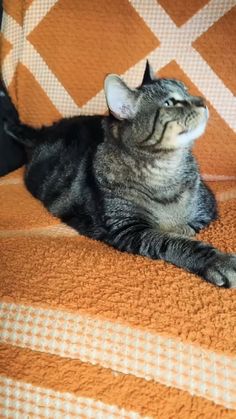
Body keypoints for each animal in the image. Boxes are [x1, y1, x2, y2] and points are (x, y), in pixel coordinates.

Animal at [3, 63, 236, 288]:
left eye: (187, 91)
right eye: (170, 103)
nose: (202, 102)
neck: (165, 170)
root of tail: (42, 132)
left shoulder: (207, 207)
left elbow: (188, 224)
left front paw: (181, 227)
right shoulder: (128, 229)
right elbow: (171, 241)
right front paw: (218, 261)